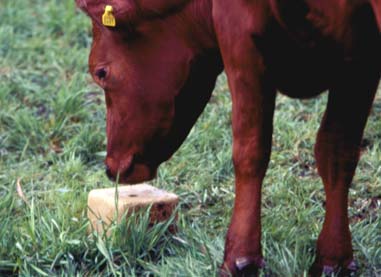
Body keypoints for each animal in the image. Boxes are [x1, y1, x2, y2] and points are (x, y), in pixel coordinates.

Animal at [75, 0, 380, 274]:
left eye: (101, 72)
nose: (112, 166)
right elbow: (335, 152)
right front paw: (333, 259)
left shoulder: (238, 33)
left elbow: (252, 148)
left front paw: (240, 257)